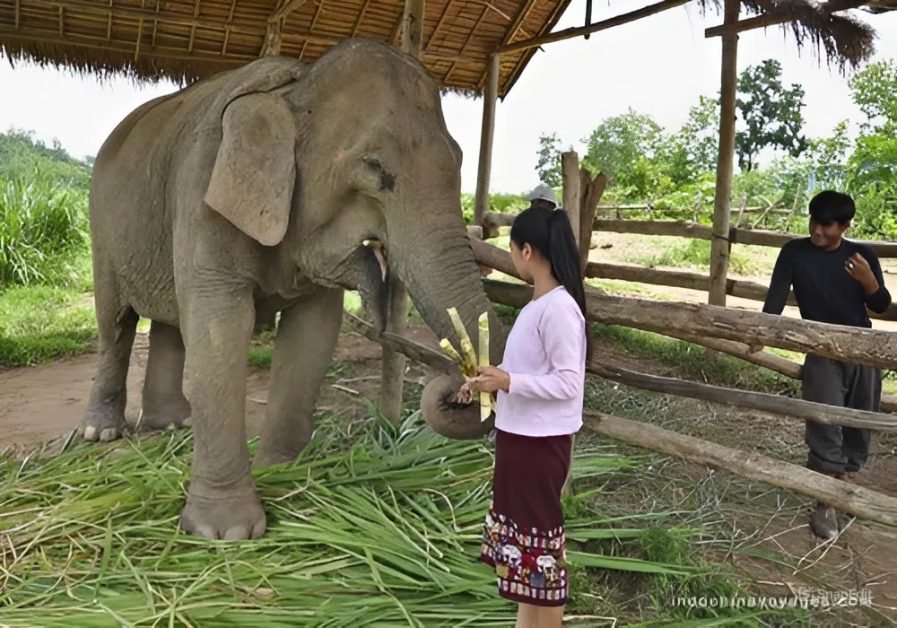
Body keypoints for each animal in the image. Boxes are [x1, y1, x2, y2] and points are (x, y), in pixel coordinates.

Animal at [82, 38, 505, 540]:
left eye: (459, 159)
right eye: (375, 168)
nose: (457, 387)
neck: (293, 90)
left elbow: (312, 333)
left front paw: (284, 475)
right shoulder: (204, 191)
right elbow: (220, 326)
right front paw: (225, 533)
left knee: (170, 321)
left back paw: (174, 423)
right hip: (102, 226)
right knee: (115, 322)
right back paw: (102, 433)